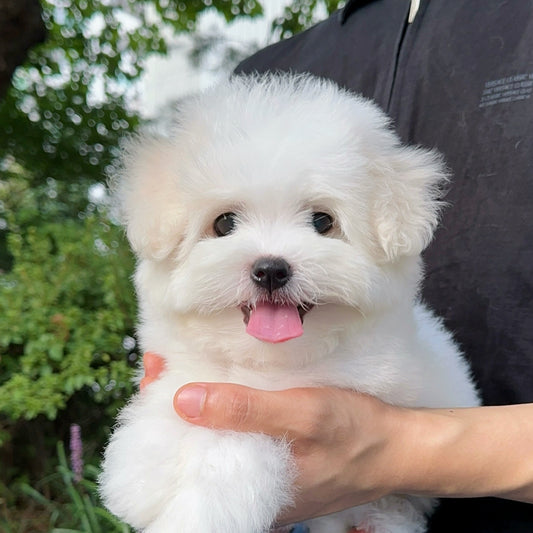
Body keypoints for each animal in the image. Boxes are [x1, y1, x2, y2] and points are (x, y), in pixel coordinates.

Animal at [98, 75, 478, 532]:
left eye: (322, 221)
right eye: (224, 222)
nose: (271, 269)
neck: (266, 361)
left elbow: (239, 444)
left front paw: (199, 511)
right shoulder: (187, 369)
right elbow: (172, 399)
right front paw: (140, 471)